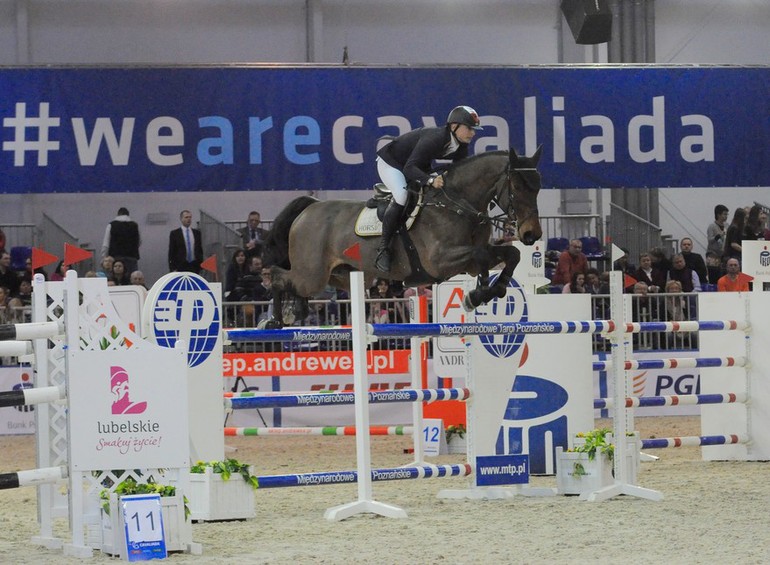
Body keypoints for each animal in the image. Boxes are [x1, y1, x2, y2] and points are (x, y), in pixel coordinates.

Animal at [260, 148, 544, 326]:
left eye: (538, 187)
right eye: (517, 186)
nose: (532, 234)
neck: (458, 203)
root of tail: (309, 207)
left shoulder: (469, 263)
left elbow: (510, 254)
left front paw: (491, 290)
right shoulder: (439, 261)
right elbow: (482, 254)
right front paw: (478, 294)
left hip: (340, 274)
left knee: (294, 284)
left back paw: (296, 310)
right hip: (313, 274)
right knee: (278, 276)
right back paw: (274, 320)